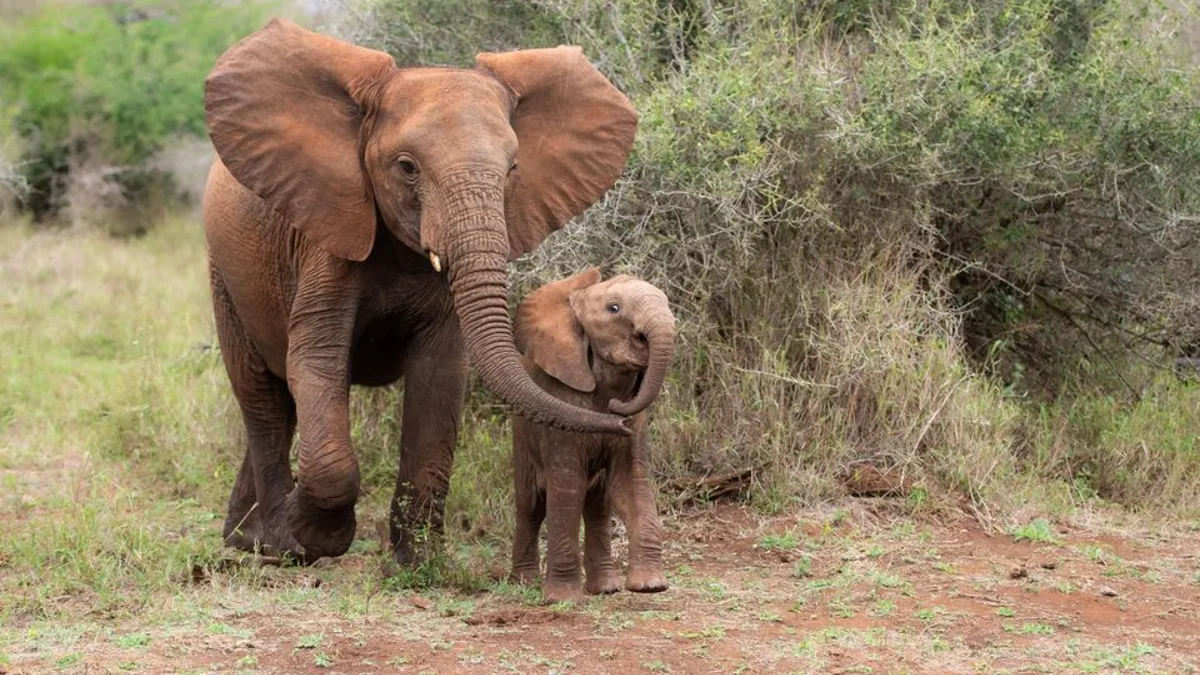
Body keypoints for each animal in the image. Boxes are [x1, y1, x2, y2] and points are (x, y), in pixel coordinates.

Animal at [201, 18, 637, 564]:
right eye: (407, 167)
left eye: (514, 169)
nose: (623, 420)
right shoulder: (328, 236)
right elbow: (318, 359)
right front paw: (315, 535)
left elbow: (439, 377)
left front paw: (419, 564)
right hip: (225, 273)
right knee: (264, 398)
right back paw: (274, 545)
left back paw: (244, 537)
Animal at [509, 269, 676, 603]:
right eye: (614, 308)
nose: (619, 414)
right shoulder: (560, 406)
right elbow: (567, 487)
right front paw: (562, 600)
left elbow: (630, 482)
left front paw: (650, 586)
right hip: (521, 434)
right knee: (530, 504)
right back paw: (523, 583)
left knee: (598, 506)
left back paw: (606, 589)